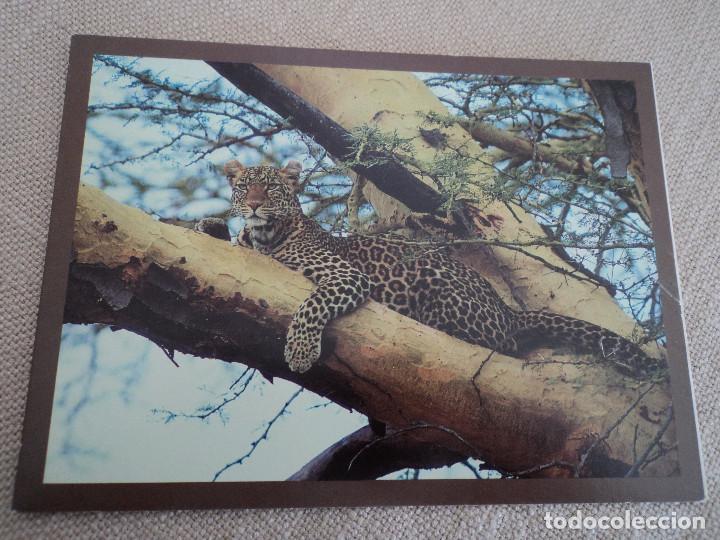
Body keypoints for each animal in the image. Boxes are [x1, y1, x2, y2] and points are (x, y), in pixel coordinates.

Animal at [196, 159, 665, 379]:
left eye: (272, 188)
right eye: (244, 187)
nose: (255, 205)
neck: (266, 237)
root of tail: (507, 309)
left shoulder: (346, 276)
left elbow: (311, 306)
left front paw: (299, 352)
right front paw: (211, 225)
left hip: (445, 290)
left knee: (504, 344)